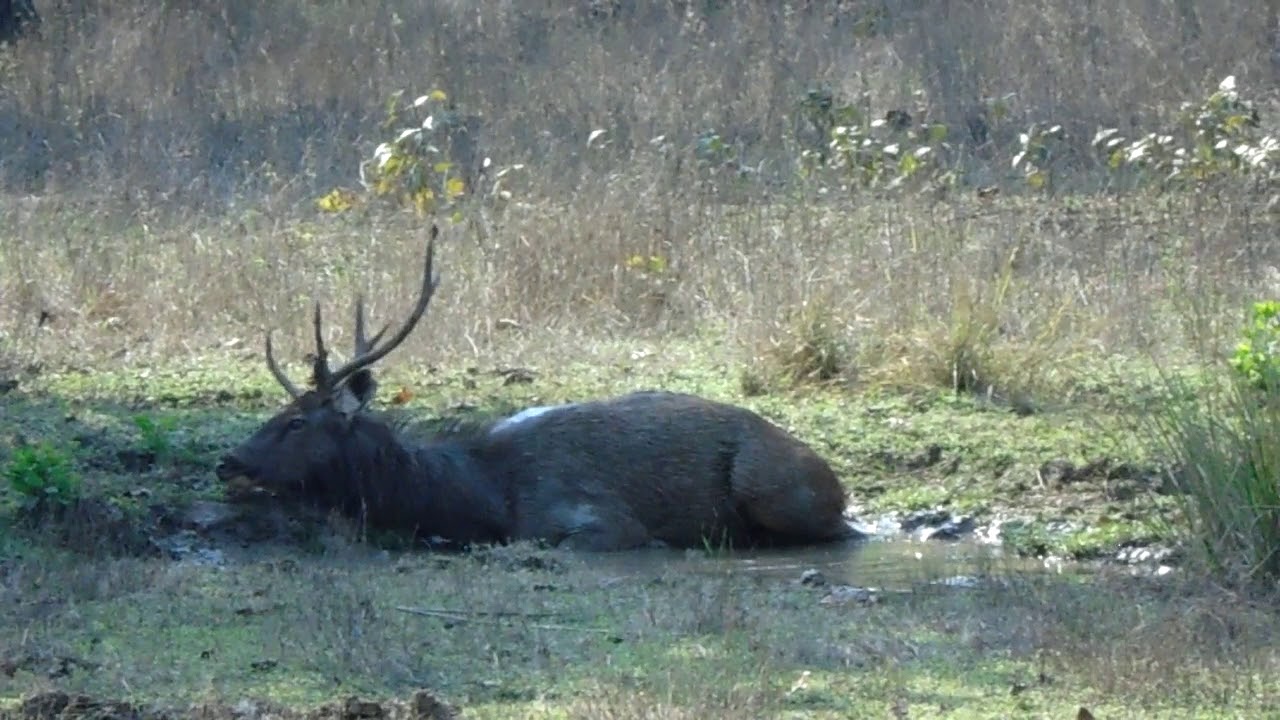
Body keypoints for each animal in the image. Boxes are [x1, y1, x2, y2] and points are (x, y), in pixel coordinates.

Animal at [214, 227, 865, 552]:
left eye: (298, 420)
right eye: (281, 409)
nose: (228, 461)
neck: (481, 494)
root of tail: (836, 478)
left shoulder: (597, 517)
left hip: (772, 487)